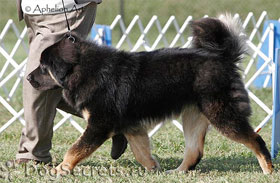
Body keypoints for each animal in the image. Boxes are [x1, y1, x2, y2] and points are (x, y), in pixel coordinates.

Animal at [27, 14, 272, 174]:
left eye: (43, 67)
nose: (28, 78)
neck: (87, 70)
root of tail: (223, 58)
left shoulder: (99, 125)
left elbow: (75, 148)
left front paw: (61, 169)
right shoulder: (130, 125)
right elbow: (140, 150)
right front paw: (152, 167)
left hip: (222, 115)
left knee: (255, 138)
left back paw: (268, 169)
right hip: (193, 117)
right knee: (195, 151)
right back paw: (177, 172)